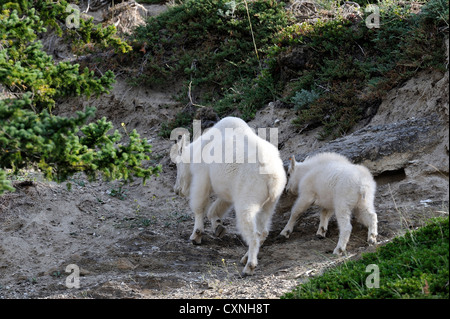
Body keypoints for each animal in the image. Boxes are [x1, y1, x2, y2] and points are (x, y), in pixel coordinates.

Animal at [172, 117, 284, 276]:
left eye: (177, 164)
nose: (177, 190)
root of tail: (273, 177)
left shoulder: (201, 177)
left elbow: (199, 206)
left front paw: (196, 235)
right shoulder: (228, 191)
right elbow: (216, 208)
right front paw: (218, 227)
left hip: (247, 201)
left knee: (254, 233)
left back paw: (249, 266)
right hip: (270, 203)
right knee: (263, 231)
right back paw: (245, 257)